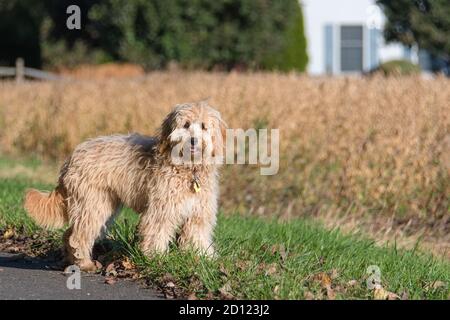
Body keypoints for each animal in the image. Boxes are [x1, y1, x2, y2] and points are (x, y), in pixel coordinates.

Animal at [23, 101, 227, 272]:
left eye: (203, 126)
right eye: (185, 125)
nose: (193, 140)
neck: (188, 169)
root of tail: (71, 158)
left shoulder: (199, 213)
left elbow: (198, 235)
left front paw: (205, 258)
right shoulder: (161, 210)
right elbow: (156, 232)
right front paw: (156, 258)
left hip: (101, 205)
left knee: (69, 234)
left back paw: (72, 261)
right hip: (93, 204)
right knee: (77, 236)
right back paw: (86, 264)